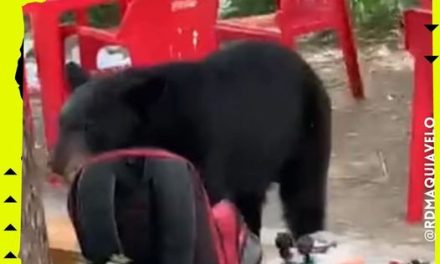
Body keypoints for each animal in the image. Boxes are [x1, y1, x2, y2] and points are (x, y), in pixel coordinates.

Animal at [50, 39, 330, 239]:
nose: (57, 165)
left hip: (307, 133)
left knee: (303, 198)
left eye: (90, 126)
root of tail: (306, 67)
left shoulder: (200, 144)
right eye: (61, 122)